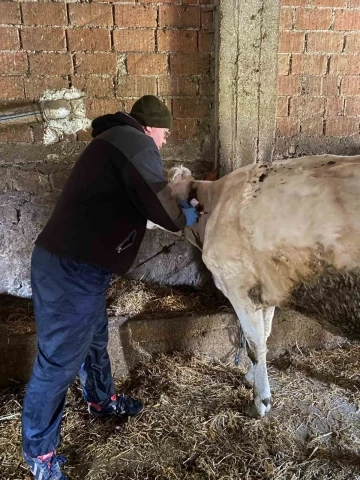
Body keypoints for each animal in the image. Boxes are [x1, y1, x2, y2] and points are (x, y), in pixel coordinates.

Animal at [168, 156, 360, 418]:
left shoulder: (238, 288)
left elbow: (254, 345)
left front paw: (260, 401)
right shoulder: (266, 291)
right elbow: (266, 336)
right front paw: (252, 378)